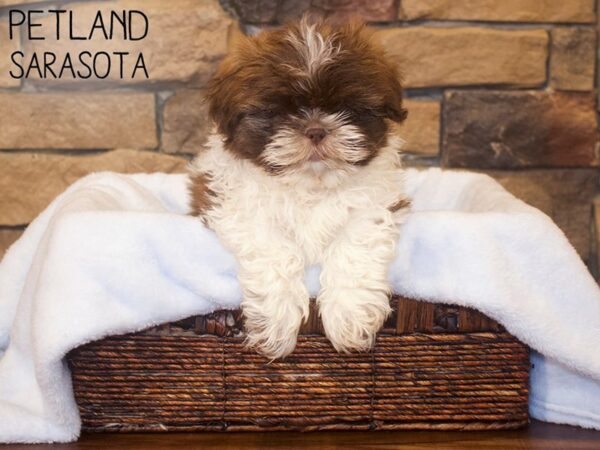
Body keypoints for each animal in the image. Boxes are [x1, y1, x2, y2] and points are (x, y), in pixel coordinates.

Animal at [189, 17, 409, 359]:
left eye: (346, 108)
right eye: (278, 111)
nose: (316, 130)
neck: (311, 185)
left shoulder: (375, 205)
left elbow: (354, 244)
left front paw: (350, 317)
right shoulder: (232, 204)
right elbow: (275, 250)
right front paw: (277, 325)